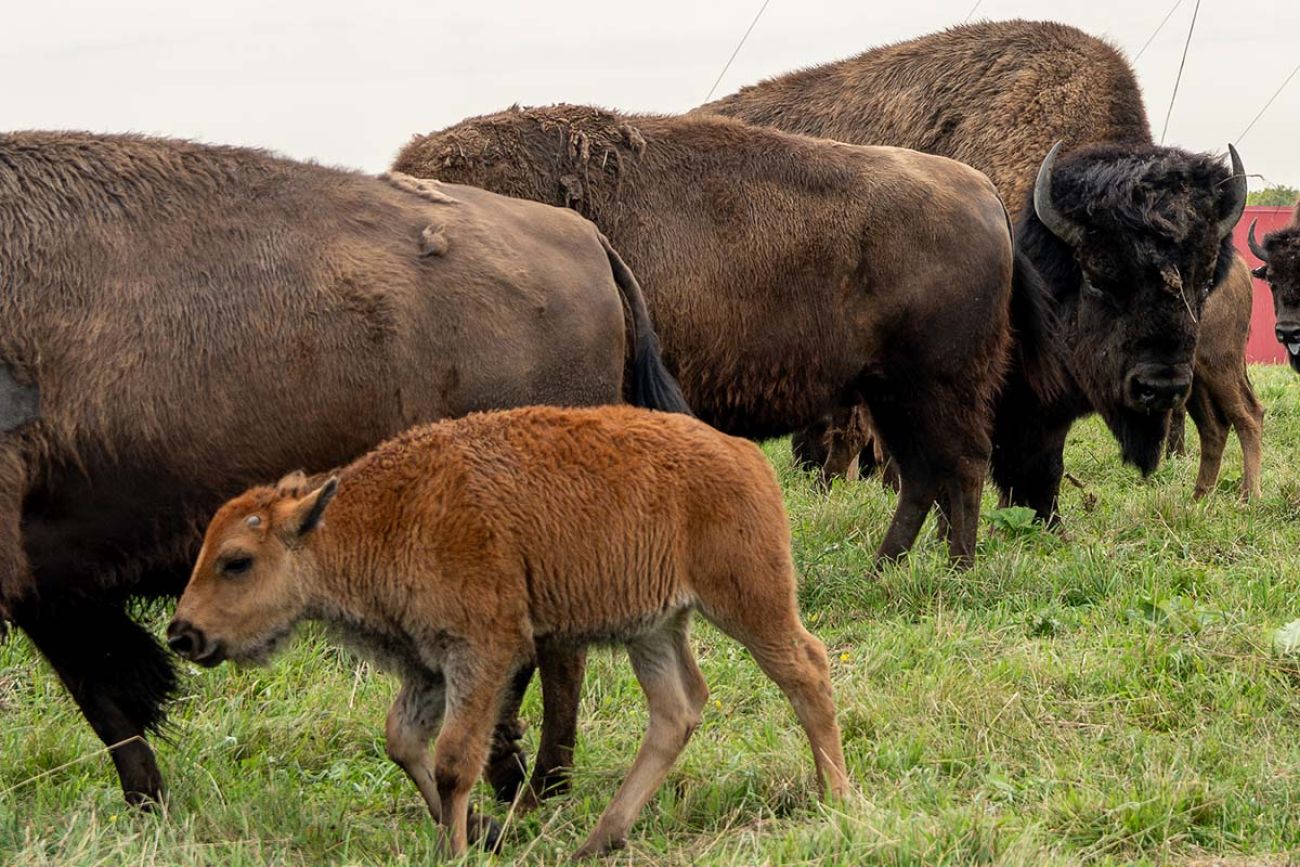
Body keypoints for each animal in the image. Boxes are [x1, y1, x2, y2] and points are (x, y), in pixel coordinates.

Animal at [0, 132, 691, 811]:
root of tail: (585, 236)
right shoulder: (54, 588)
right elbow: (109, 704)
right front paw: (152, 804)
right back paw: (526, 780)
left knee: (557, 656)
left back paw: (536, 787)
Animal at [165, 408, 852, 863]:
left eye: (236, 561)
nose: (182, 635)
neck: (373, 516)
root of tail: (745, 455)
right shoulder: (429, 666)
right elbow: (403, 742)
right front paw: (478, 832)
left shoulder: (483, 653)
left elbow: (453, 759)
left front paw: (457, 846)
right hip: (651, 629)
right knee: (676, 709)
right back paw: (599, 839)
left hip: (748, 602)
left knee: (807, 670)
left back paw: (838, 800)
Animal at [392, 103, 1045, 569]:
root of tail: (984, 193)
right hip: (889, 392)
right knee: (923, 473)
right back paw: (888, 567)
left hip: (938, 384)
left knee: (960, 463)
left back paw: (955, 569)